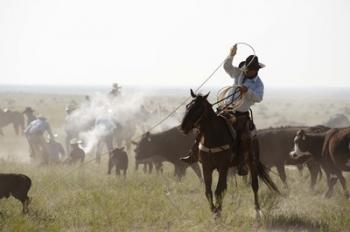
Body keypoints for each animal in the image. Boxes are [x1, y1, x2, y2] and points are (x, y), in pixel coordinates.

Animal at [180, 89, 278, 218]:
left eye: (199, 108)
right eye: (188, 106)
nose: (183, 126)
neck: (214, 137)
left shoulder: (223, 166)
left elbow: (219, 190)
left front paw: (217, 213)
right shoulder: (207, 166)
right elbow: (208, 191)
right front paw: (214, 210)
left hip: (251, 161)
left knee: (254, 185)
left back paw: (257, 211)